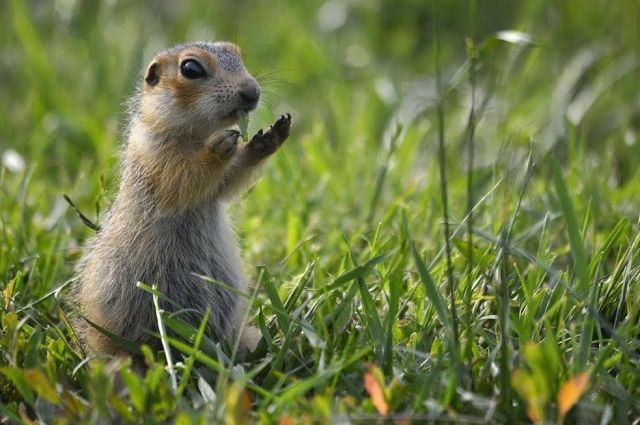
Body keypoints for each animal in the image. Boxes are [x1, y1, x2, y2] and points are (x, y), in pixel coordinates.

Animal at [72, 42, 290, 354]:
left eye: (237, 53)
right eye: (191, 68)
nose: (252, 92)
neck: (197, 135)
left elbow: (227, 182)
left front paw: (268, 137)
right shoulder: (155, 153)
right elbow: (184, 177)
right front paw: (219, 147)